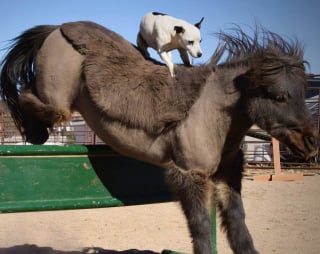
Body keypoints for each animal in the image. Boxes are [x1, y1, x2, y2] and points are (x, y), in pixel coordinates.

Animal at [0, 20, 318, 253]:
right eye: (279, 96)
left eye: (303, 92)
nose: (312, 142)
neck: (211, 111)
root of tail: (58, 27)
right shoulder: (191, 176)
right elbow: (201, 230)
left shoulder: (227, 174)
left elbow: (239, 228)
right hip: (59, 104)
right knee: (28, 93)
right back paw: (35, 132)